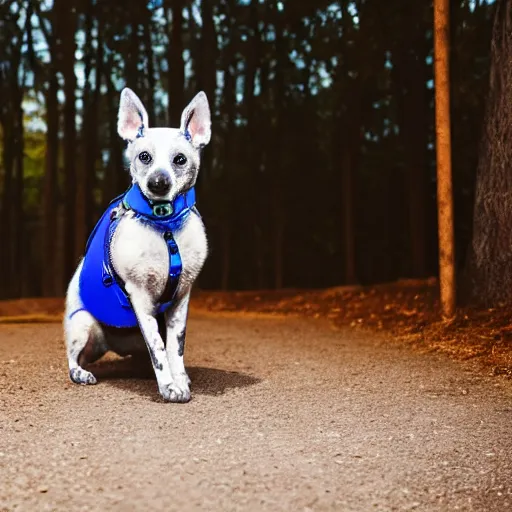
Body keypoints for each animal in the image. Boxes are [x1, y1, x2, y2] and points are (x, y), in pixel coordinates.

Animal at [63, 88, 210, 402]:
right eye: (144, 156)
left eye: (180, 159)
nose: (158, 182)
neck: (165, 226)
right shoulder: (140, 298)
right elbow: (157, 348)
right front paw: (168, 386)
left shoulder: (181, 299)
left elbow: (174, 348)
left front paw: (179, 379)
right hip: (84, 326)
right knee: (73, 359)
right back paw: (81, 372)